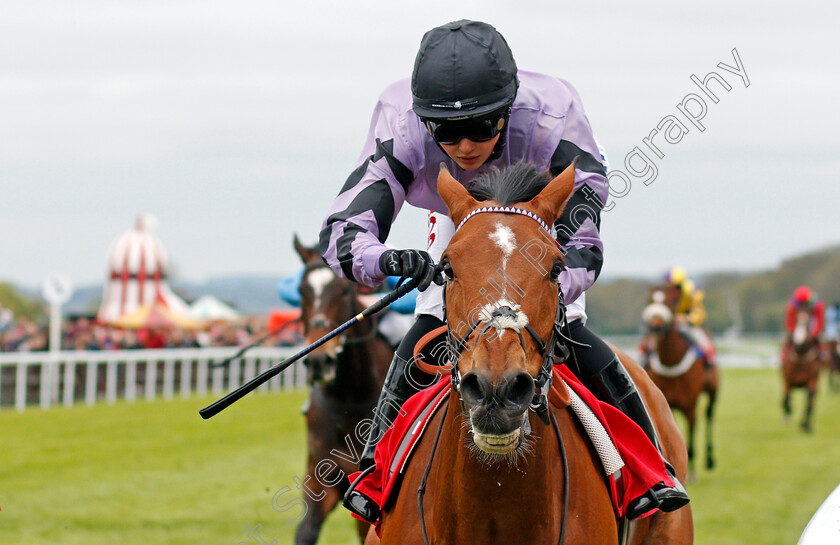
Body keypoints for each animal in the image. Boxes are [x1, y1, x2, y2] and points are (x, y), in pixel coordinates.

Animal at [292, 237, 394, 544]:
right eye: (301, 291)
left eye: (342, 290)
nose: (318, 361)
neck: (350, 398)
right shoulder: (320, 476)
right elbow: (306, 531)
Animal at [640, 288, 720, 476]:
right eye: (649, 301)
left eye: (670, 302)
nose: (655, 327)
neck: (671, 362)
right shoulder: (666, 406)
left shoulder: (690, 406)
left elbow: (690, 436)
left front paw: (692, 471)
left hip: (713, 391)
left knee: (709, 415)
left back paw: (709, 459)